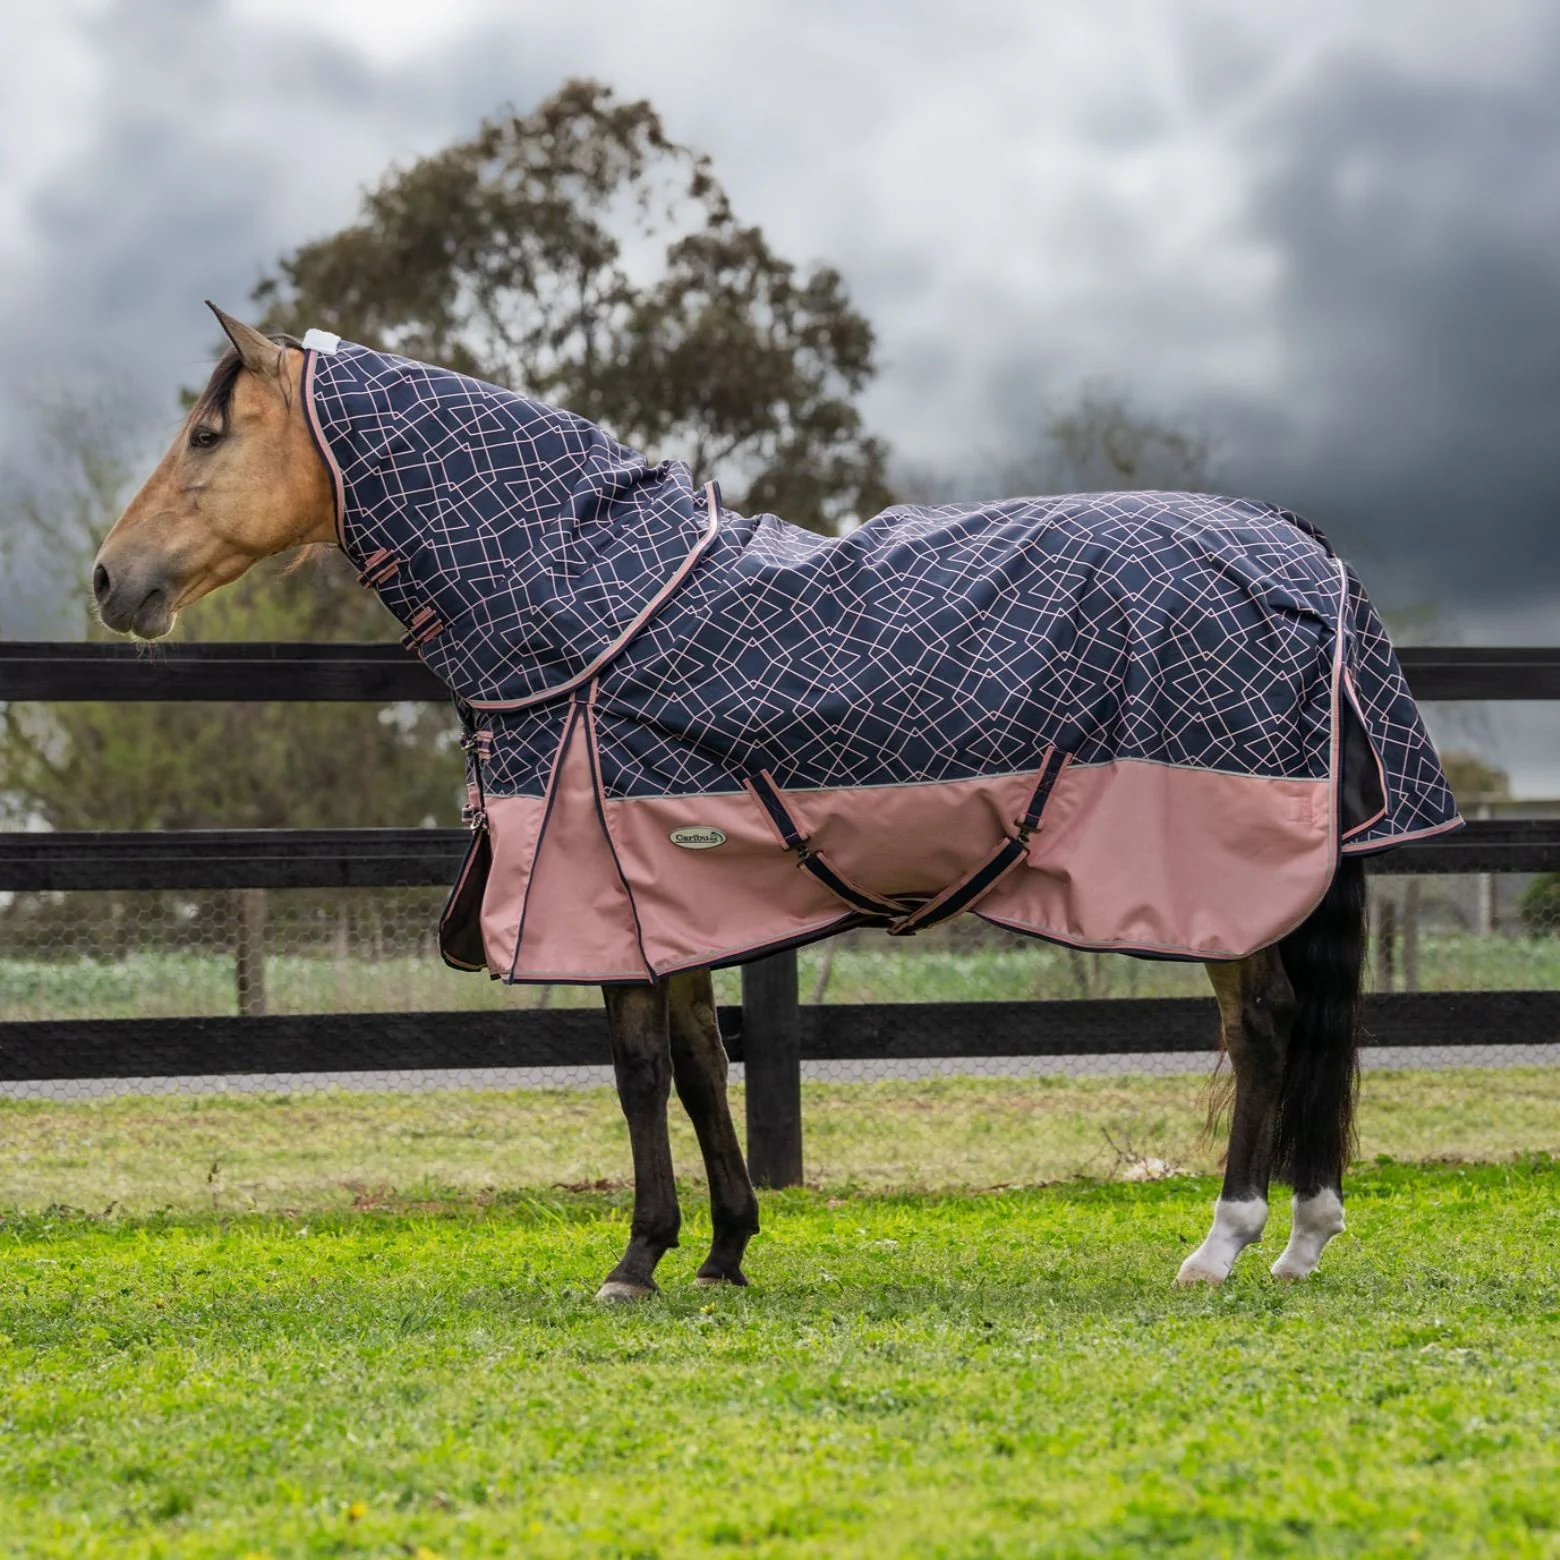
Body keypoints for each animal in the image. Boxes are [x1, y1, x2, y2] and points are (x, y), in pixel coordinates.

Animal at [92, 305, 1460, 1299]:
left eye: (208, 433)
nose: (110, 580)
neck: (594, 610)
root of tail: (1298, 548)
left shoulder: (601, 899)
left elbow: (641, 1073)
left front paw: (637, 1259)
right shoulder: (671, 898)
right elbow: (705, 1069)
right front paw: (724, 1251)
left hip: (1219, 886)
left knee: (1266, 1030)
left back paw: (1224, 1243)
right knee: (1295, 1032)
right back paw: (1302, 1235)